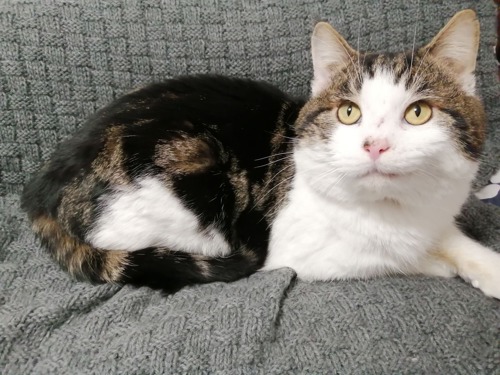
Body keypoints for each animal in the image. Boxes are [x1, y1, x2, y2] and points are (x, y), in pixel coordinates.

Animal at [21, 9, 500, 300]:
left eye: (418, 113)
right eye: (349, 112)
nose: (375, 145)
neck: (396, 211)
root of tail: (39, 192)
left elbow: (452, 240)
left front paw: (483, 267)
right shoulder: (297, 254)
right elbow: (393, 258)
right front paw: (435, 264)